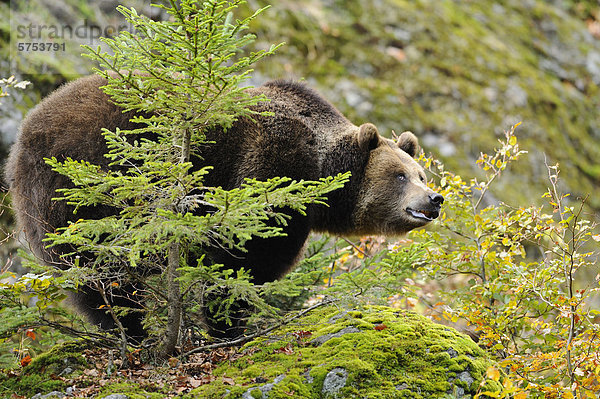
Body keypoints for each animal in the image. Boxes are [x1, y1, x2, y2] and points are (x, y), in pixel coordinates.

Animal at [4, 74, 442, 338]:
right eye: (400, 176)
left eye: (421, 174)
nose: (435, 199)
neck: (318, 173)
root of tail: (25, 132)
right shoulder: (266, 173)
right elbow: (242, 259)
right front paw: (229, 324)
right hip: (86, 189)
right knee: (97, 269)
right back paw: (129, 327)